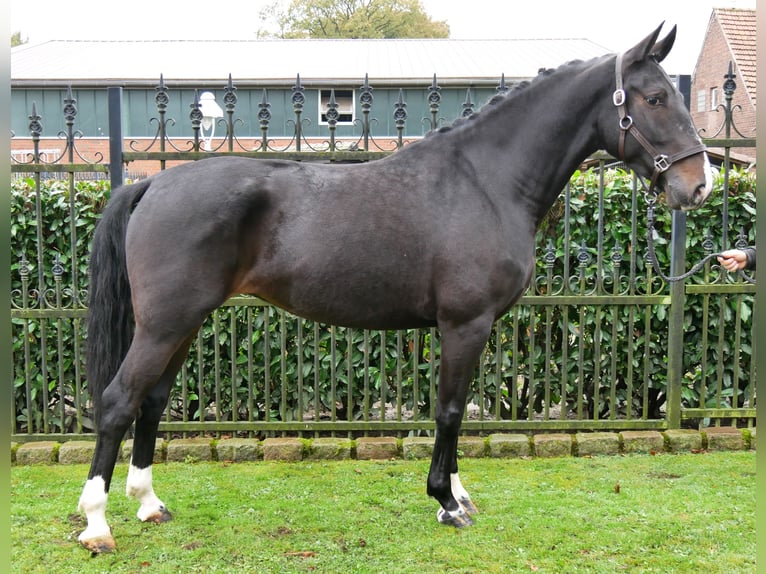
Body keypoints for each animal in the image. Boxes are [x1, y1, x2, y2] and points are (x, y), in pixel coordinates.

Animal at [78, 24, 712, 556]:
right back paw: (97, 525)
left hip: (181, 323)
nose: (698, 184)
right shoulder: (465, 323)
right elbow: (450, 410)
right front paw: (447, 503)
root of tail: (155, 183)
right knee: (116, 403)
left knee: (151, 403)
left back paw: (149, 505)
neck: (484, 181)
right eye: (654, 99)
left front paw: (458, 493)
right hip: (164, 325)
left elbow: (456, 410)